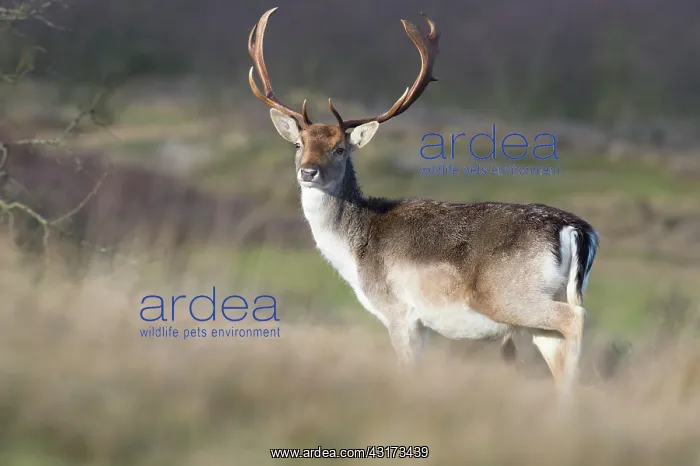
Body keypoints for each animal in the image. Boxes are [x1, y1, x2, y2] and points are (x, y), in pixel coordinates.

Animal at [247, 7, 600, 393]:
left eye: (340, 148)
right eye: (299, 144)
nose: (308, 171)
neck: (354, 253)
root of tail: (577, 230)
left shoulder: (399, 312)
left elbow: (407, 370)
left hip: (509, 296)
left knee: (577, 318)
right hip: (541, 311)